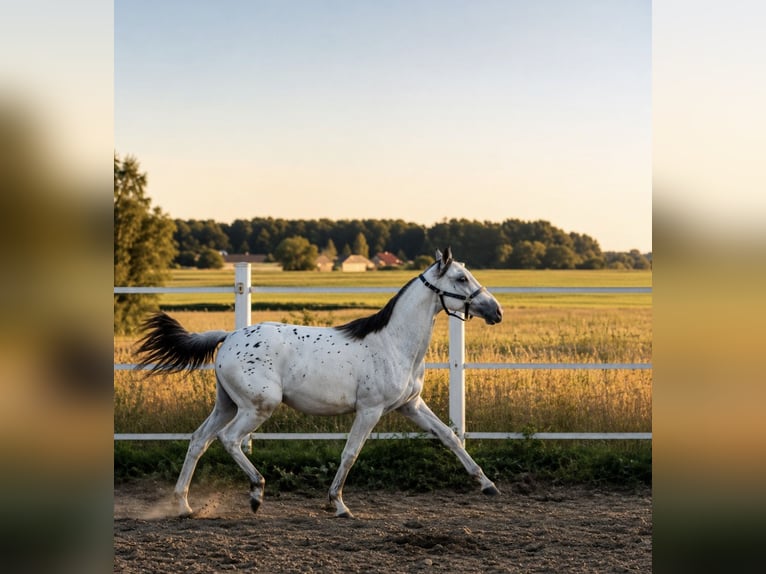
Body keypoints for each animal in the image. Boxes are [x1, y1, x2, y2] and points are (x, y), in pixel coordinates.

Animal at [135, 247, 504, 518]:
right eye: (461, 277)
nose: (496, 311)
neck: (393, 343)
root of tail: (228, 337)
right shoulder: (370, 409)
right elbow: (350, 453)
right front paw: (338, 504)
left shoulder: (410, 405)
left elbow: (449, 437)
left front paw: (488, 485)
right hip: (258, 407)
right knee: (229, 440)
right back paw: (256, 492)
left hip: (226, 404)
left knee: (199, 440)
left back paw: (183, 505)